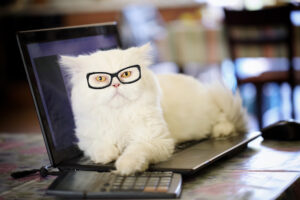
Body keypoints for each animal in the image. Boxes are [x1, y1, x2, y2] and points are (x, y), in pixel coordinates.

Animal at [59, 43, 247, 175]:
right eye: (100, 78)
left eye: (126, 74)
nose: (116, 84)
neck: (119, 115)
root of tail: (203, 88)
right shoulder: (87, 139)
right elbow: (99, 146)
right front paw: (107, 156)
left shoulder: (154, 140)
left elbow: (135, 151)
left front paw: (126, 166)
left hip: (212, 109)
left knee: (223, 118)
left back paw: (221, 131)